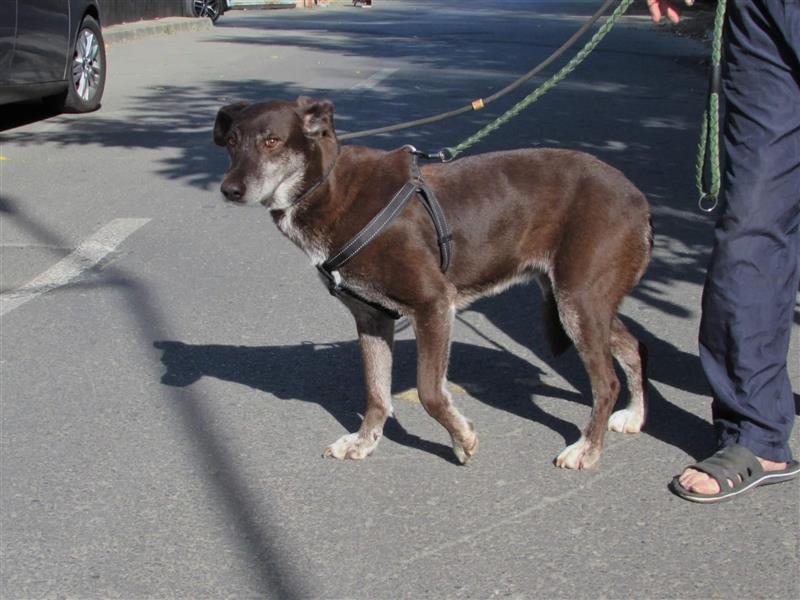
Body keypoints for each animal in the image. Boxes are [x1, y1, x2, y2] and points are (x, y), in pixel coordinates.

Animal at [216, 96, 652, 468]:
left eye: (272, 141)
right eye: (232, 142)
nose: (229, 190)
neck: (329, 188)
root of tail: (637, 197)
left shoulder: (434, 304)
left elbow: (429, 392)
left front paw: (461, 438)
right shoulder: (372, 318)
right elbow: (376, 393)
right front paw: (364, 441)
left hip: (578, 301)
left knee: (606, 382)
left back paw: (587, 448)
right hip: (579, 301)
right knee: (633, 345)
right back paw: (634, 415)